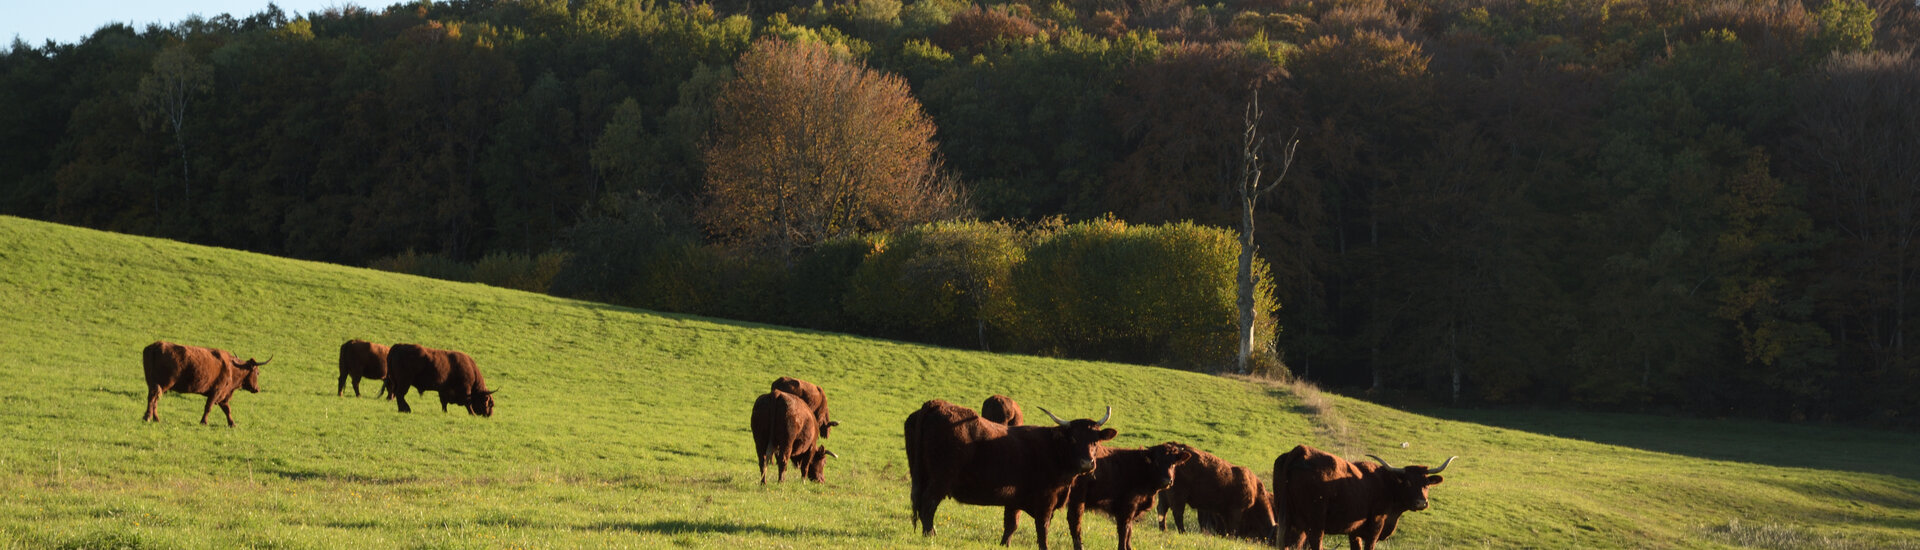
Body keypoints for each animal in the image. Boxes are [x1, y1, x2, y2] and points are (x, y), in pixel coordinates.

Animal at [140, 342, 270, 426]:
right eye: (258, 372)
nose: (257, 389)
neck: (232, 368)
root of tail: (156, 345)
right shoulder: (216, 391)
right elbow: (208, 407)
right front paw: (204, 422)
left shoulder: (222, 395)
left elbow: (227, 409)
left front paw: (232, 423)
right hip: (163, 384)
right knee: (153, 398)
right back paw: (148, 417)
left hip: (154, 384)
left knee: (154, 399)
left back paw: (155, 418)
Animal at [906, 400, 1121, 550]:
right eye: (1074, 438)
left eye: (1095, 440)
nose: (1088, 463)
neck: (1054, 450)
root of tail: (936, 404)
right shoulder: (1046, 499)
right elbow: (1042, 527)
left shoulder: (1014, 498)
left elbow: (1011, 524)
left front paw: (1004, 544)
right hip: (940, 479)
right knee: (928, 504)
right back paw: (931, 535)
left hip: (921, 475)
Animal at [1059, 442, 1190, 550]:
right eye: (1157, 461)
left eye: (1173, 463)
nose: (1167, 481)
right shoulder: (1127, 508)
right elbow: (1124, 530)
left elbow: (1129, 531)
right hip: (1078, 498)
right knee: (1075, 520)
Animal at [1274, 444, 1451, 550]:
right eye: (1407, 482)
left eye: (1426, 483)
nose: (1421, 502)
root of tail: (1302, 449)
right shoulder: (1375, 527)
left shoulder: (1355, 531)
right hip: (1315, 522)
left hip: (1288, 519)